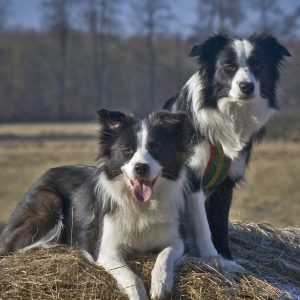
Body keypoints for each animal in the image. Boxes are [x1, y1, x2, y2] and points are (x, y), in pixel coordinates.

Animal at [0, 109, 192, 300]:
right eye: (127, 150)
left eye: (156, 148)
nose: (140, 168)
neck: (140, 206)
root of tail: (47, 173)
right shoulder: (106, 251)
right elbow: (132, 278)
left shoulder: (176, 240)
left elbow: (165, 255)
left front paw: (161, 283)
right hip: (48, 204)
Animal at [164, 32, 290, 270]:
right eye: (229, 66)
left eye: (257, 65)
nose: (246, 86)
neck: (231, 114)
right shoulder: (193, 177)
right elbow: (203, 224)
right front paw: (212, 257)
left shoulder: (226, 181)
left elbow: (220, 224)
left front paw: (227, 259)